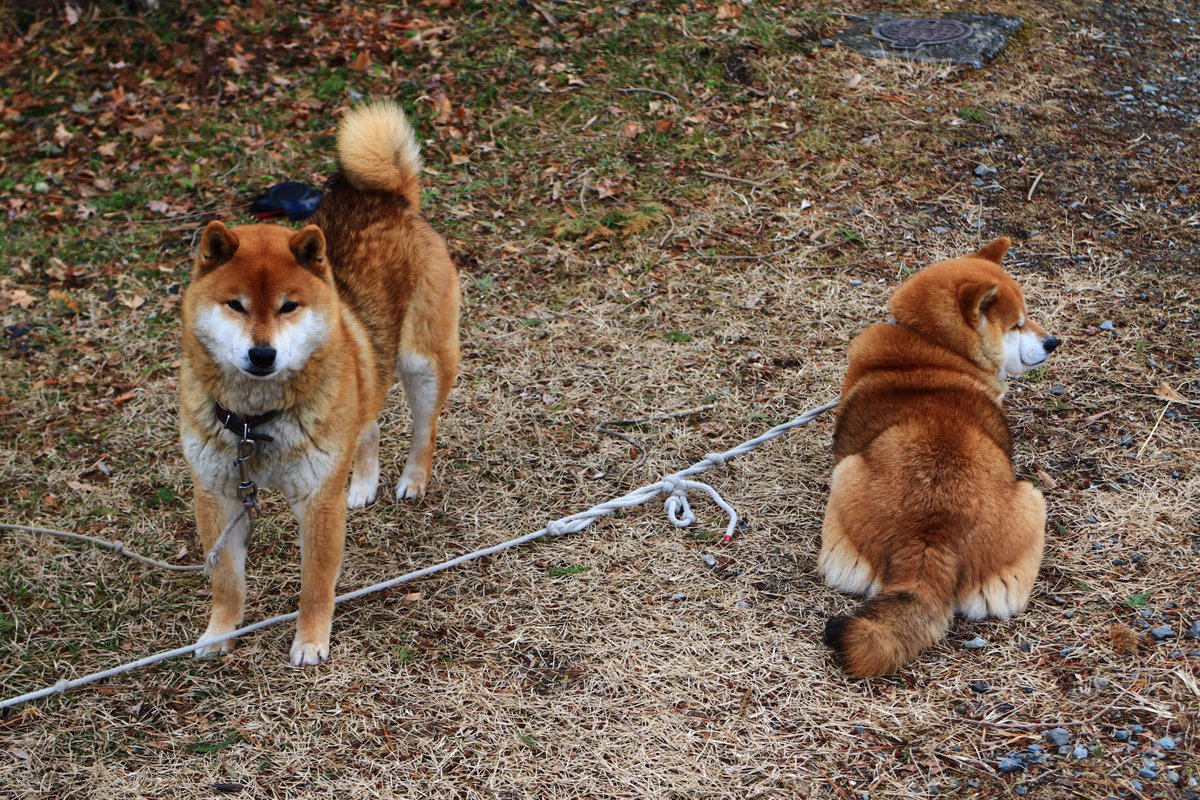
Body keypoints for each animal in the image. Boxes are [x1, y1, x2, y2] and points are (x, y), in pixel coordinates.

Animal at [177, 103, 458, 666]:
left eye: (289, 306)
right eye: (236, 304)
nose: (262, 354)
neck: (254, 421)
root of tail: (387, 200)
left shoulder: (316, 501)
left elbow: (316, 584)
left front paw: (310, 641)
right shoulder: (218, 494)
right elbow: (226, 581)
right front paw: (220, 633)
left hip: (422, 363)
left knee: (425, 429)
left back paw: (412, 480)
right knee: (369, 424)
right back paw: (365, 483)